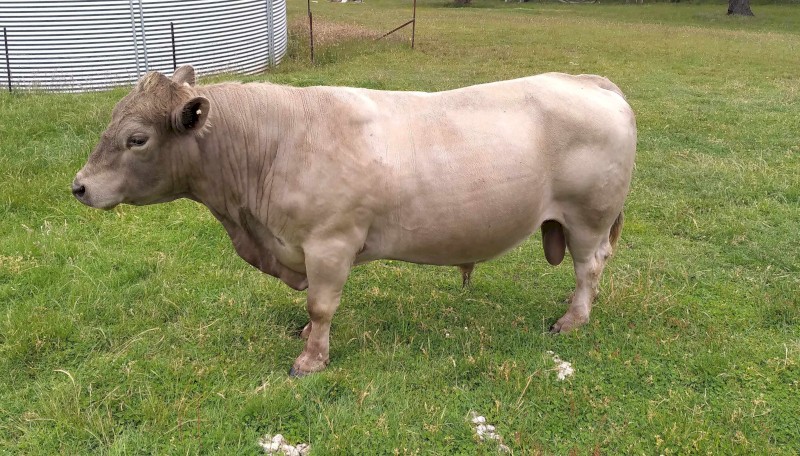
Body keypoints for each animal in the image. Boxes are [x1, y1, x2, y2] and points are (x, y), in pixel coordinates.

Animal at [72, 66, 636, 376]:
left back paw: (572, 320)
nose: (79, 186)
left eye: (137, 138)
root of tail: (589, 81)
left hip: (588, 218)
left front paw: (310, 359)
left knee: (589, 268)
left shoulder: (329, 243)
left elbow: (321, 306)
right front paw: (305, 338)